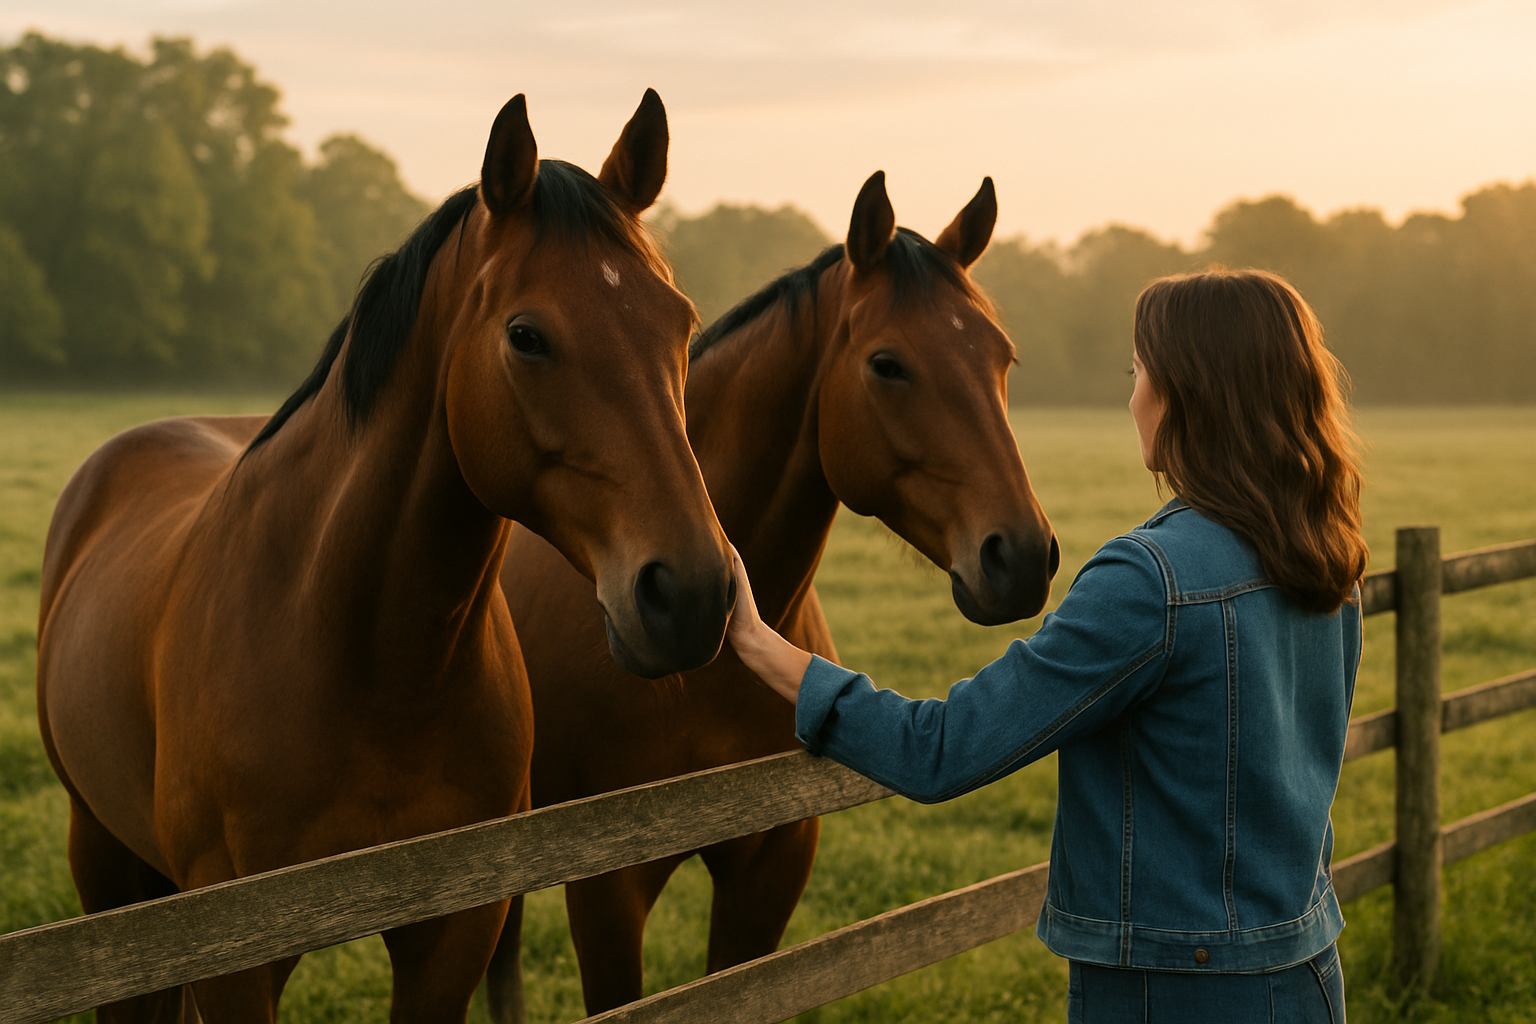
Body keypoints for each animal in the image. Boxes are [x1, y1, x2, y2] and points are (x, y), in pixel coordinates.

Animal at [34, 90, 734, 1023]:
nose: (690, 593)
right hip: (105, 865)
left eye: (681, 322)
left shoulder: (453, 932)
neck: (362, 658)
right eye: (526, 336)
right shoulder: (236, 955)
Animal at [493, 170, 1059, 1016]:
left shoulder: (772, 865)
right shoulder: (606, 888)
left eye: (1003, 358)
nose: (1020, 556)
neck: (704, 671)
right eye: (887, 364)